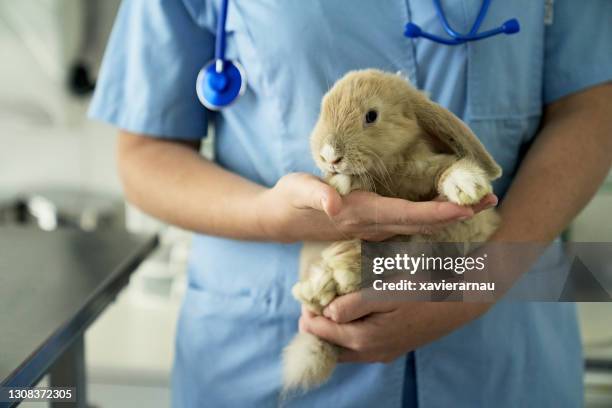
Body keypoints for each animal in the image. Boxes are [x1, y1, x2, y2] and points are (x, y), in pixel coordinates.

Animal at [282, 68, 502, 394]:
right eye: (323, 109)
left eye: (371, 116)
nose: (329, 156)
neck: (393, 172)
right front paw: (341, 183)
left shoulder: (428, 170)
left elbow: (445, 171)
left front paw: (467, 185)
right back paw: (324, 285)